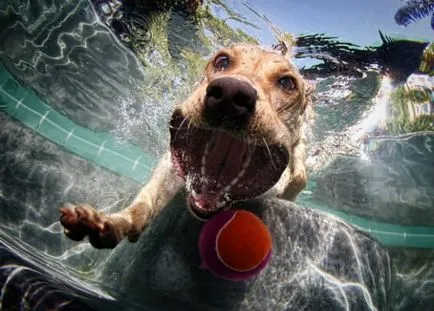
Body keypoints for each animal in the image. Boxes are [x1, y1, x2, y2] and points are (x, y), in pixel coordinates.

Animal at [60, 43, 312, 249]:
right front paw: (113, 223)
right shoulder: (170, 167)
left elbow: (298, 178)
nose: (230, 94)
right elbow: (144, 203)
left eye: (287, 83)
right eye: (222, 61)